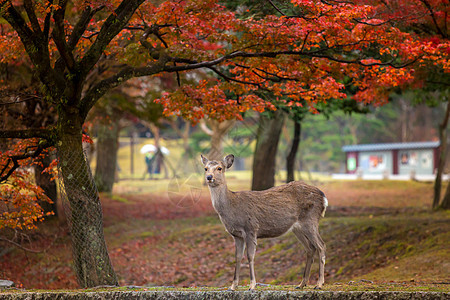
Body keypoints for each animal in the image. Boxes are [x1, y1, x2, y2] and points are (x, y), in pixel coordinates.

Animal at [200, 154, 326, 290]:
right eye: (205, 168)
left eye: (219, 168)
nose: (209, 177)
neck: (231, 207)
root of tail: (323, 197)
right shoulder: (236, 235)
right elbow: (237, 257)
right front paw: (233, 286)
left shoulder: (251, 228)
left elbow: (250, 256)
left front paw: (252, 285)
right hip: (298, 228)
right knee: (310, 249)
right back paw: (302, 284)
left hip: (310, 220)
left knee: (321, 246)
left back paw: (319, 283)